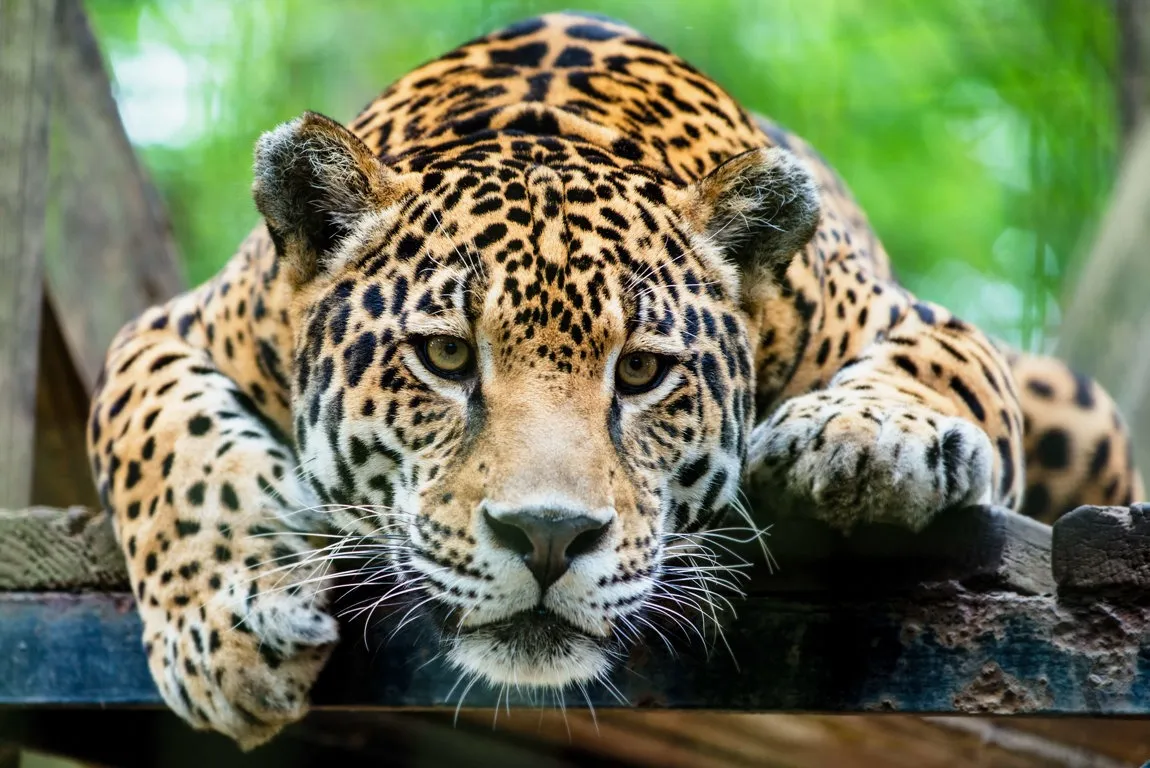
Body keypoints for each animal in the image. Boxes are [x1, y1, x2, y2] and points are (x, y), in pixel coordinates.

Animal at [86, 12, 1145, 749]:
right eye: (446, 357)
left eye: (640, 372)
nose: (548, 538)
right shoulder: (171, 329)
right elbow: (162, 441)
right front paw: (226, 633)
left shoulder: (912, 318)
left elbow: (937, 365)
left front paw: (864, 438)